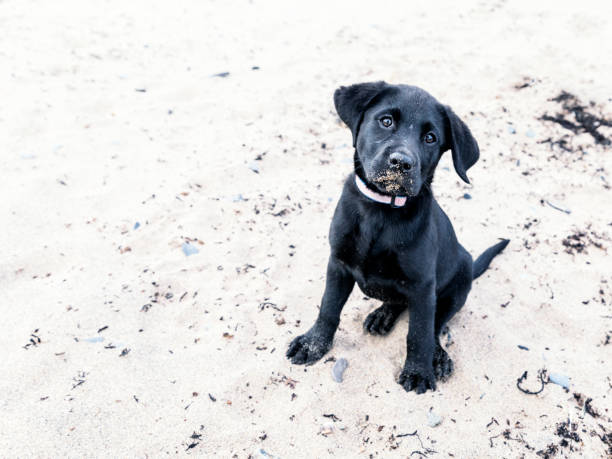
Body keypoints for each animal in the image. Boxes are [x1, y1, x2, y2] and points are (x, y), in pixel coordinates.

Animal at [286, 82, 506, 392]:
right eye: (386, 121)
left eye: (430, 138)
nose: (401, 163)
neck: (380, 211)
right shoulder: (338, 264)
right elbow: (328, 308)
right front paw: (313, 344)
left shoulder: (423, 286)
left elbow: (420, 333)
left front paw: (418, 371)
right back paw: (383, 315)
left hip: (458, 283)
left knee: (436, 324)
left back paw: (436, 356)